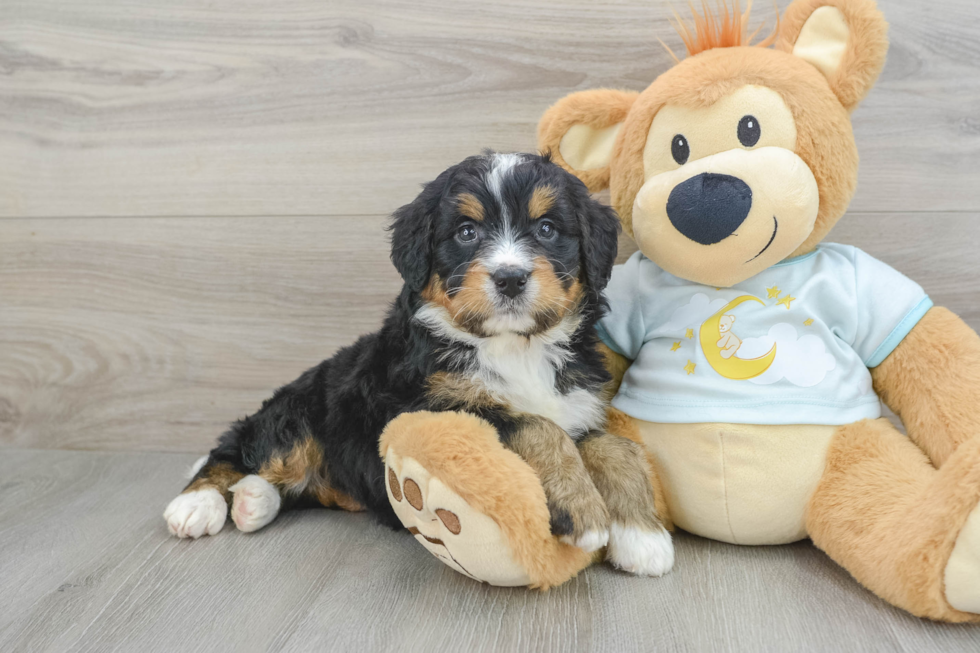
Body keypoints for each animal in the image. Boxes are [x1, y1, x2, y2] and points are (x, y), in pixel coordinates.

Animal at [167, 152, 672, 576]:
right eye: (466, 232)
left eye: (547, 228)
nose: (510, 278)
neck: (515, 347)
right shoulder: (430, 402)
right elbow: (536, 426)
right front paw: (585, 512)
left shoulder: (578, 404)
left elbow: (617, 448)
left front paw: (642, 537)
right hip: (297, 415)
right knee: (237, 450)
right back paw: (198, 504)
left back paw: (253, 501)